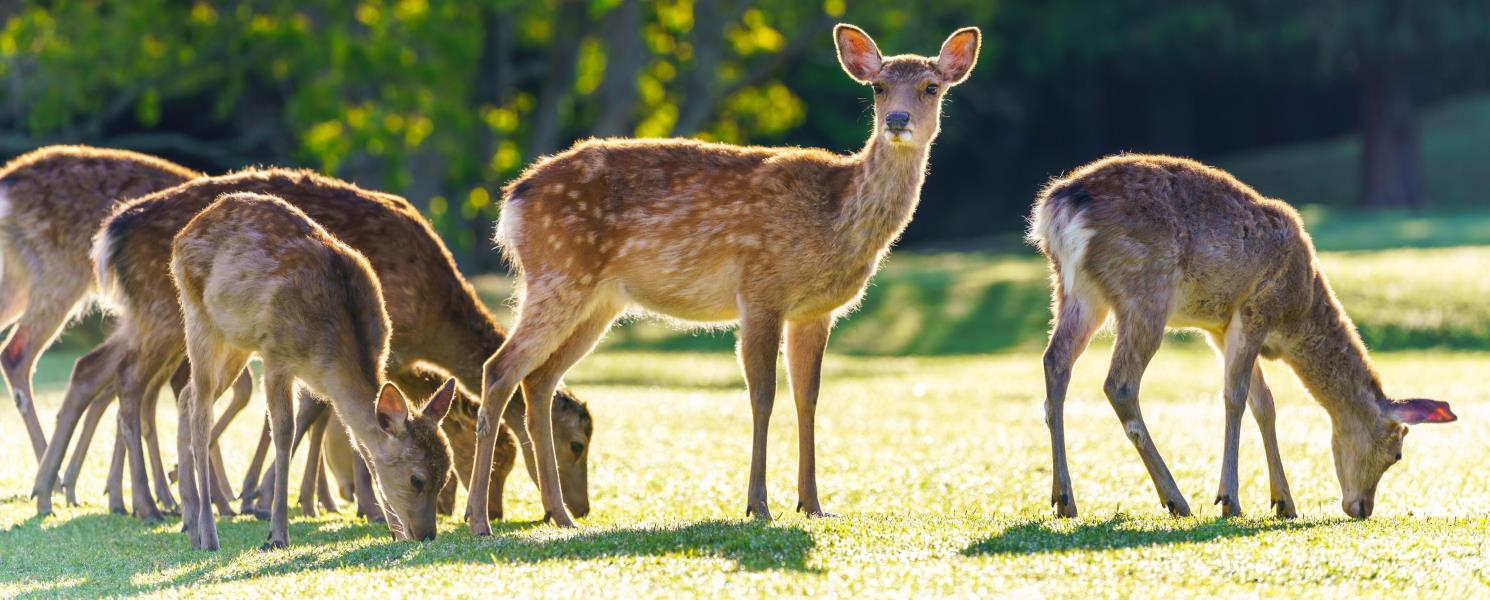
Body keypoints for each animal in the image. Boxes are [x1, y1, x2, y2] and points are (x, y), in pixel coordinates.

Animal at [168, 192, 447, 550]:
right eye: (416, 479)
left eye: (446, 475)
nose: (426, 534)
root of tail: (182, 234)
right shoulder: (275, 354)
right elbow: (284, 432)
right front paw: (276, 534)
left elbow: (360, 442)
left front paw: (393, 531)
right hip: (198, 318)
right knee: (201, 412)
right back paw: (207, 533)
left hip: (236, 343)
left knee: (186, 396)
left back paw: (188, 522)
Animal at [464, 22, 977, 530]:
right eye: (878, 87)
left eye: (931, 87)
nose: (897, 120)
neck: (835, 214)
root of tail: (513, 198)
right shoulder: (761, 288)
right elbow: (763, 396)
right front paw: (758, 505)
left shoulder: (815, 311)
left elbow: (808, 397)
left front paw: (812, 504)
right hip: (558, 272)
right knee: (500, 370)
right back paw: (480, 520)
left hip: (598, 301)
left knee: (539, 381)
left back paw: (560, 516)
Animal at [1025, 154, 1454, 521]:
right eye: (1397, 452)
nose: (1362, 507)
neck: (1297, 315)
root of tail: (1057, 209)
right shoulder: (1254, 311)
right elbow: (1236, 397)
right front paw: (1230, 500)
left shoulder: (1219, 327)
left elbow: (1264, 404)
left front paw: (1284, 502)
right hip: (1145, 291)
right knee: (1119, 383)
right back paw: (1176, 500)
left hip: (1076, 291)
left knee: (1055, 361)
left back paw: (1064, 499)